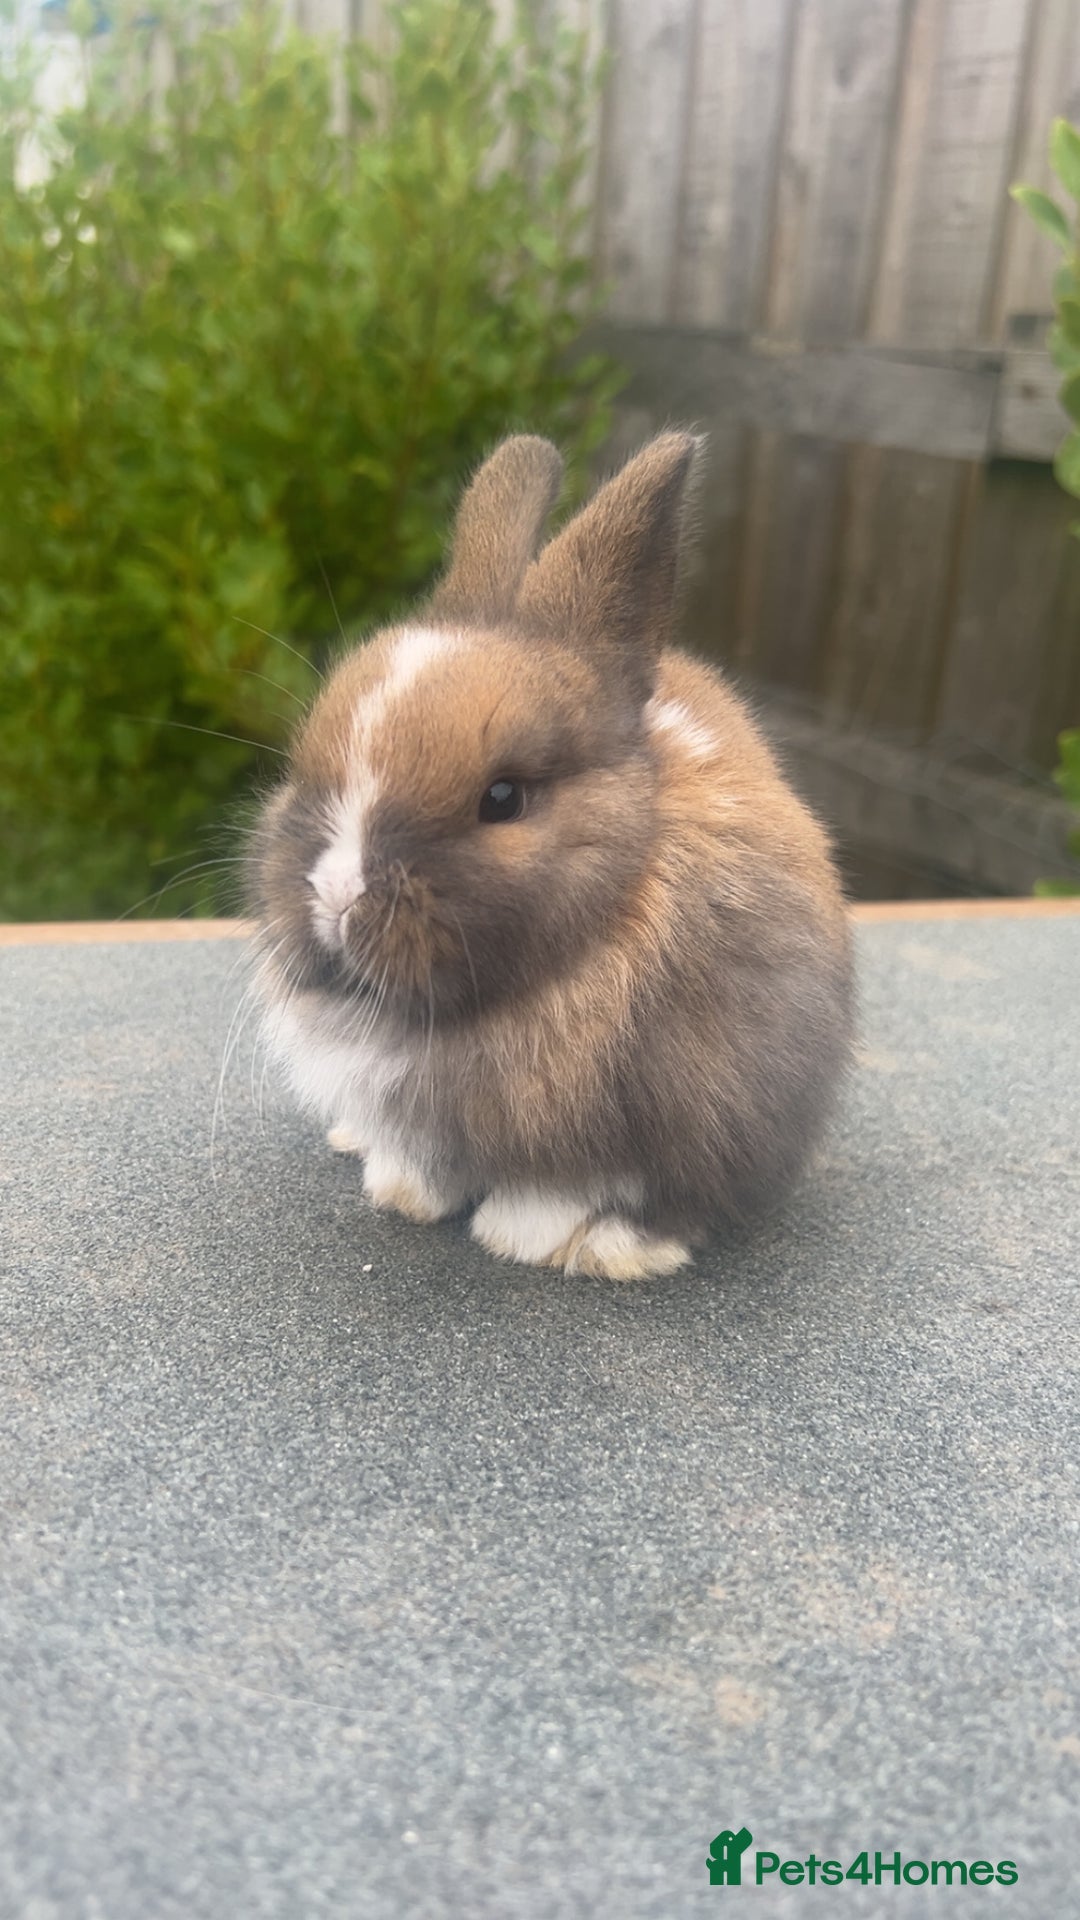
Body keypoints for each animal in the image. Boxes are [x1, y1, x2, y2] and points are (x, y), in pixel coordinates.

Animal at [247, 431, 853, 1281]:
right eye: (306, 762)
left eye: (502, 798)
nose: (336, 895)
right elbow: (426, 1156)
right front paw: (404, 1194)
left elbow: (568, 1188)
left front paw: (537, 1241)